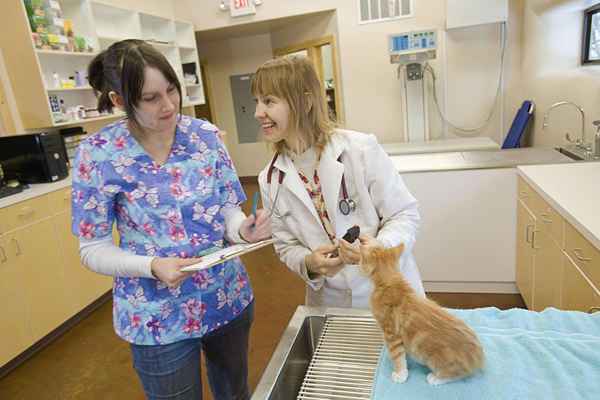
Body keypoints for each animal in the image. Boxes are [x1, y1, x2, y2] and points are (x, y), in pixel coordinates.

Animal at [360, 242, 482, 386]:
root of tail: (478, 358)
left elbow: (397, 355)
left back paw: (436, 378)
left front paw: (400, 374)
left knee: (459, 374)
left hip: (437, 361)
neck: (391, 281)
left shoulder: (391, 334)